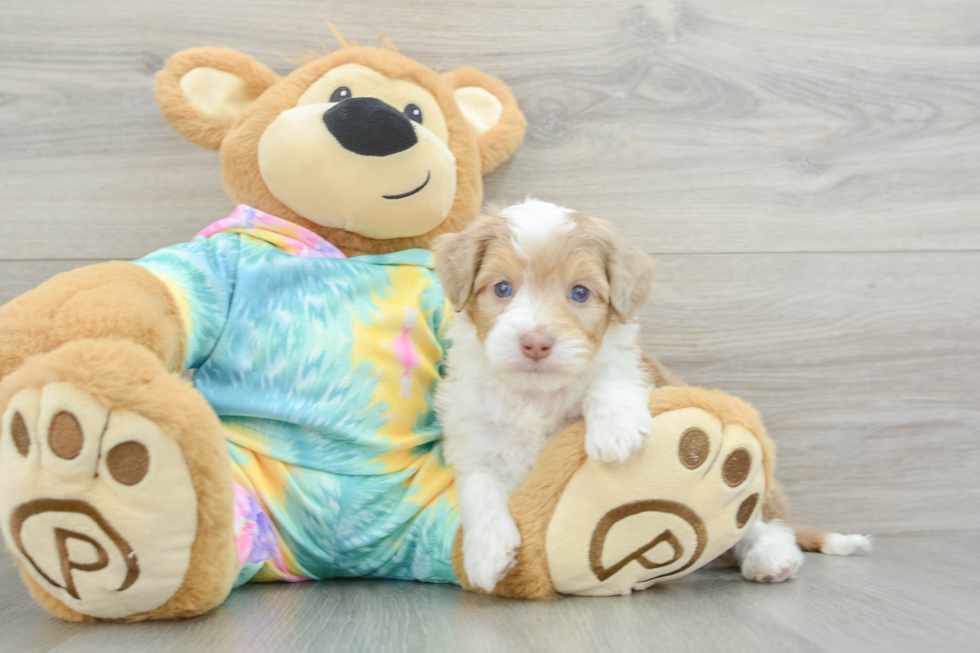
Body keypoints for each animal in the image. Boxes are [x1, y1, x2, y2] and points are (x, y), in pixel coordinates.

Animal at [432, 199, 664, 592]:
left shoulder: (634, 368)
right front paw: (486, 551)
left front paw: (614, 430)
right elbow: (479, 485)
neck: (533, 396)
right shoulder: (471, 436)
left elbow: (611, 376)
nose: (535, 343)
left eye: (580, 293)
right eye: (502, 288)